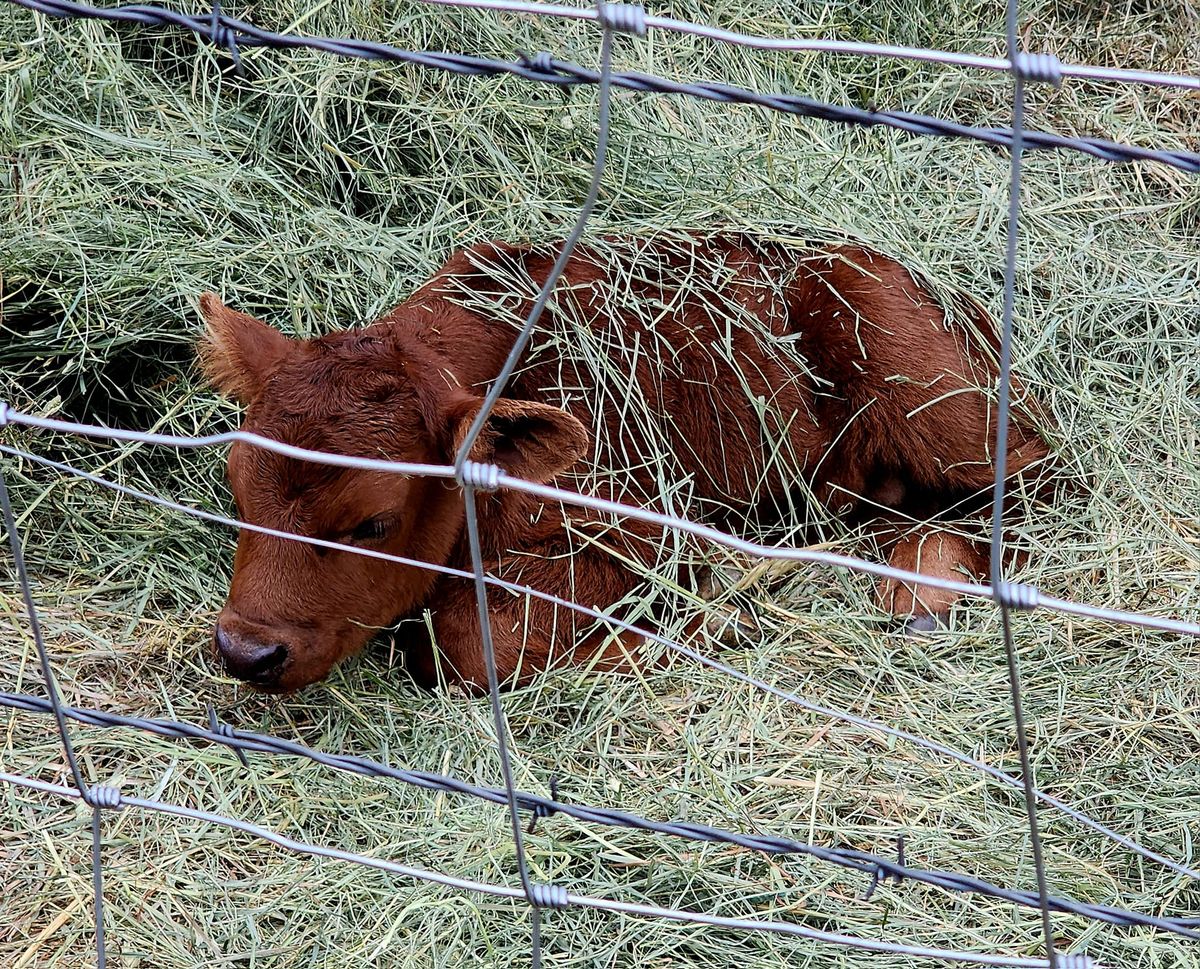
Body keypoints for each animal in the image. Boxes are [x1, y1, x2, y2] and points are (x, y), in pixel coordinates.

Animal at [199, 231, 1051, 690]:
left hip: (936, 397)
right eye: (236, 486)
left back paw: (923, 591)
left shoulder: (643, 530)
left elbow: (470, 639)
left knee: (1031, 492)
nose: (245, 650)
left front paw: (703, 624)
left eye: (374, 520)